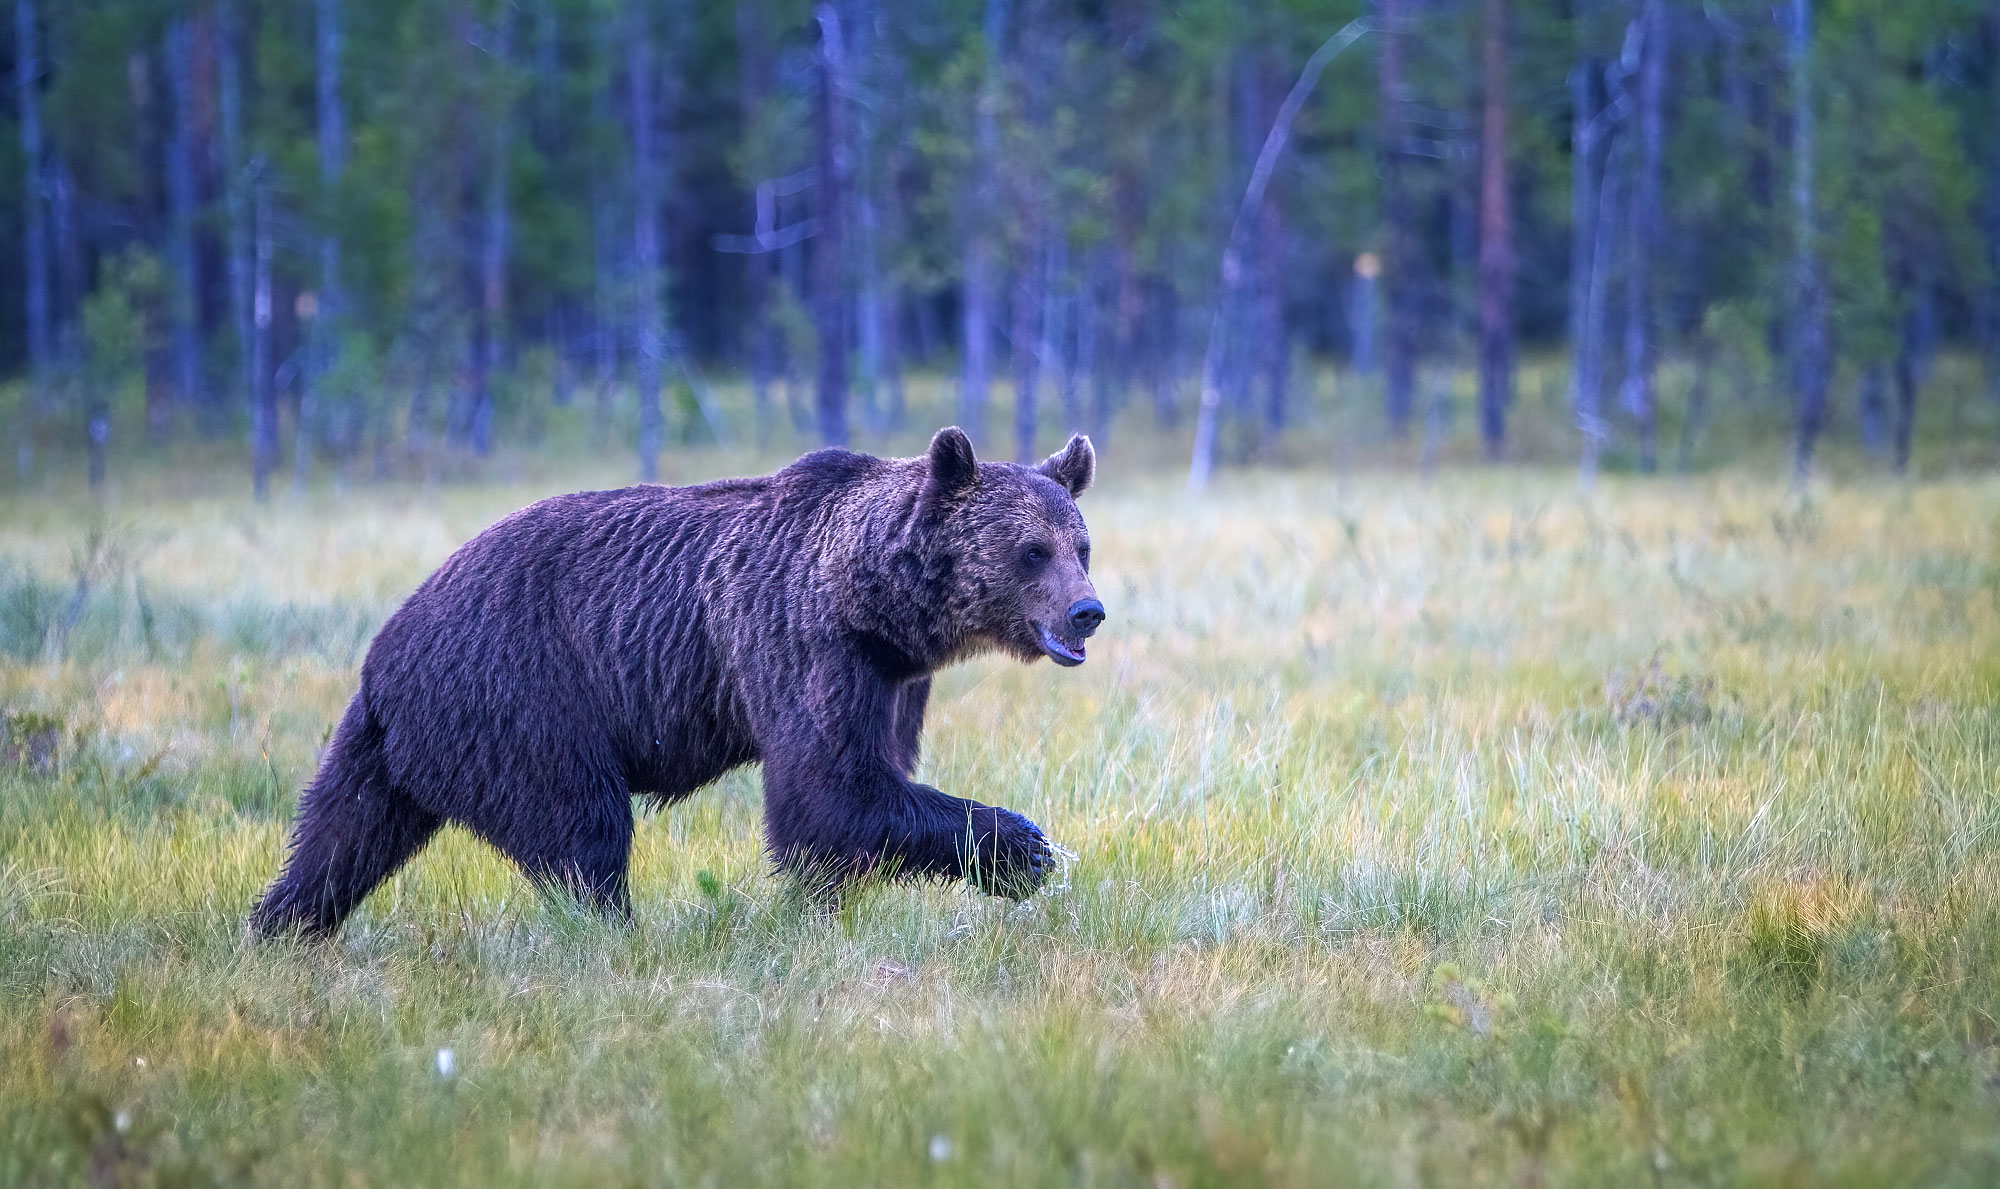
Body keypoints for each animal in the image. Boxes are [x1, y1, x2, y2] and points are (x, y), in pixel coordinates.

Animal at [246, 426, 1112, 936]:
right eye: (1031, 549)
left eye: (1081, 544)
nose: (1087, 611)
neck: (872, 598)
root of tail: (384, 652)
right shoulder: (800, 642)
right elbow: (830, 792)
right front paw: (1025, 848)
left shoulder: (895, 678)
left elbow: (865, 788)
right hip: (518, 697)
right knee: (581, 828)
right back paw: (614, 929)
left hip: (404, 741)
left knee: (343, 832)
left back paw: (280, 923)